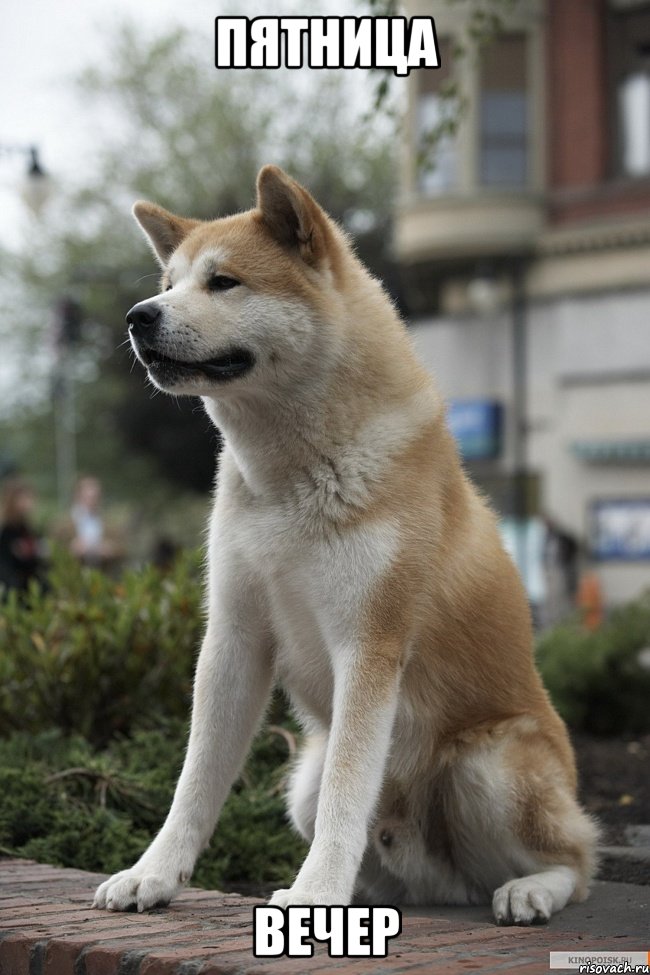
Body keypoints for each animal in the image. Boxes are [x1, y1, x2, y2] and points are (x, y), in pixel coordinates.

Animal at [92, 166, 596, 924]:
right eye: (170, 281)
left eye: (224, 282)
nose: (138, 315)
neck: (291, 477)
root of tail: (443, 881)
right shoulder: (234, 637)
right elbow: (195, 781)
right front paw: (153, 873)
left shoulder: (369, 643)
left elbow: (347, 790)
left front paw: (315, 891)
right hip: (300, 778)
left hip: (489, 764)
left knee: (576, 860)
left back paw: (529, 888)